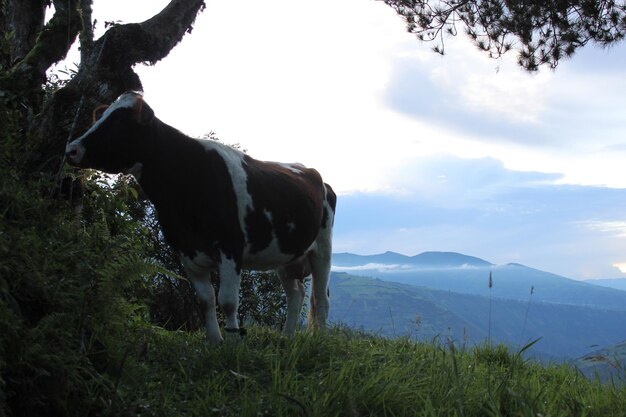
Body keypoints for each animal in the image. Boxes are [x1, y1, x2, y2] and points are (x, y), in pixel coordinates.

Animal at [65, 92, 334, 344]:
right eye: (100, 115)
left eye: (119, 120)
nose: (71, 149)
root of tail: (312, 172)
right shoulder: (186, 250)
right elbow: (206, 300)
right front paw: (215, 341)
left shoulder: (230, 246)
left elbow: (228, 300)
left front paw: (234, 344)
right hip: (285, 254)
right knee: (295, 293)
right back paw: (287, 338)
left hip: (322, 248)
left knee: (321, 298)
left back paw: (319, 340)